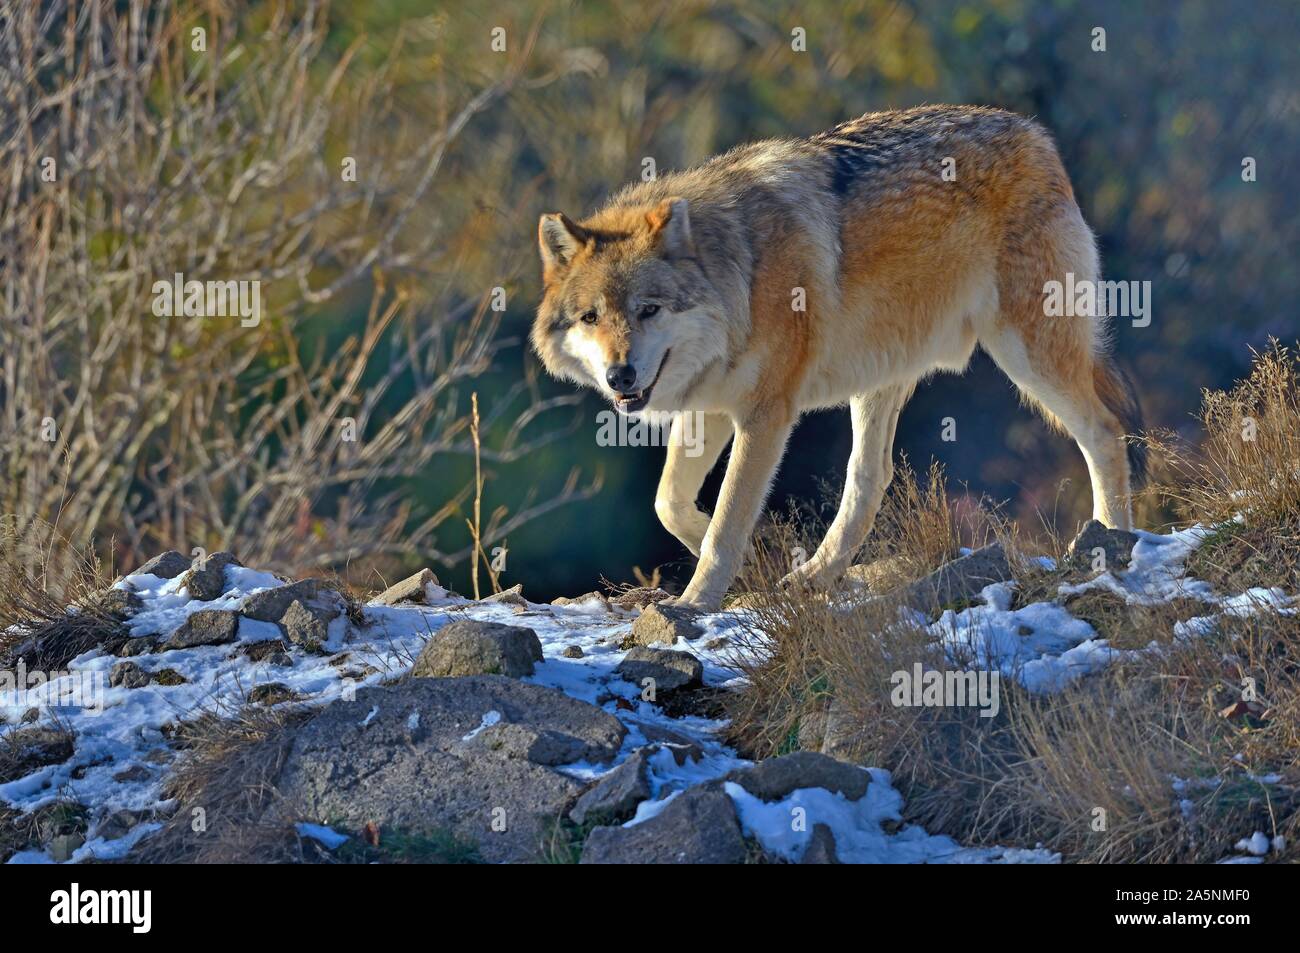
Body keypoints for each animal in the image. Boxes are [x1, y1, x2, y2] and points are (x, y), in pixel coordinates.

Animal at [533, 104, 1144, 608]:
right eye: (591, 317)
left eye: (649, 309)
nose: (620, 375)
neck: (742, 269)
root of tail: (1036, 134)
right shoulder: (709, 406)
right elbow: (670, 503)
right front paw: (752, 561)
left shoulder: (767, 413)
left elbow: (728, 519)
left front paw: (697, 603)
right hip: (882, 378)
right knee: (870, 478)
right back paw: (814, 579)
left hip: (1027, 355)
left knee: (1105, 431)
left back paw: (1108, 543)